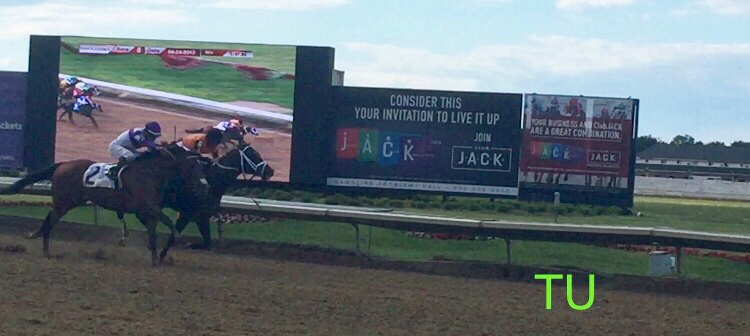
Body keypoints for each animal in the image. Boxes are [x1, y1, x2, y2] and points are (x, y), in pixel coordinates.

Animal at [2, 146, 210, 266]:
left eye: (202, 167)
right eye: (193, 167)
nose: (204, 186)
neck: (150, 173)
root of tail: (62, 165)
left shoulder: (147, 212)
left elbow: (153, 234)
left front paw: (155, 260)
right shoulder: (147, 207)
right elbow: (166, 220)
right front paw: (175, 235)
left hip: (68, 202)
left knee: (48, 219)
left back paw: (37, 239)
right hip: (64, 203)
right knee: (49, 221)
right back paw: (45, 250)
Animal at [119, 143, 276, 251]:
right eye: (254, 154)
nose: (270, 171)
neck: (212, 182)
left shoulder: (202, 217)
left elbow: (208, 243)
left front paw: (190, 245)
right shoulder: (187, 214)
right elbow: (173, 238)